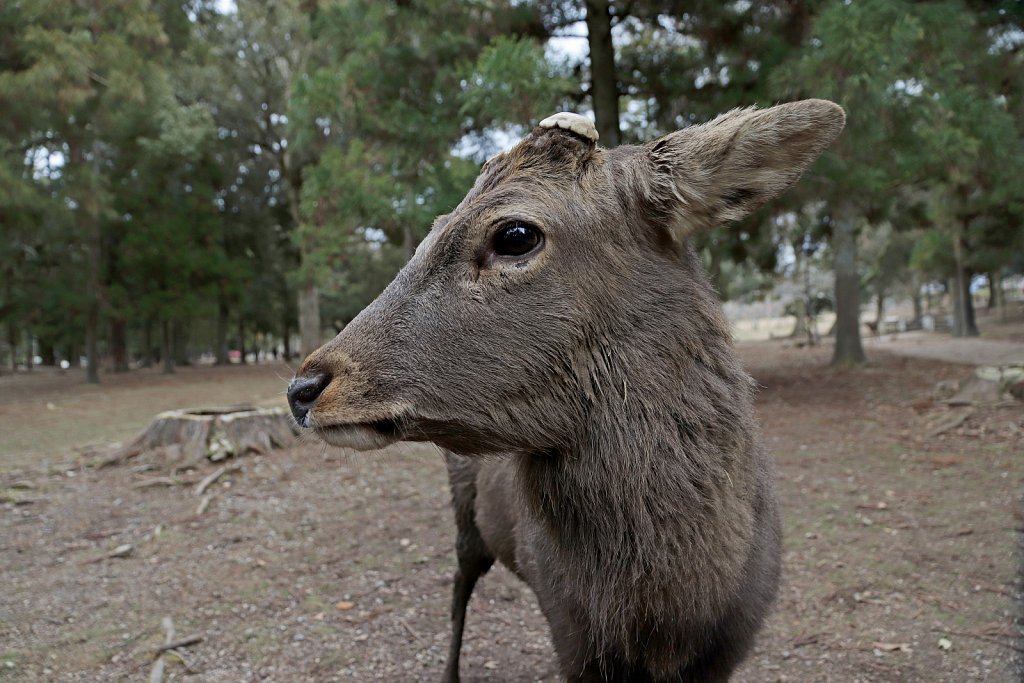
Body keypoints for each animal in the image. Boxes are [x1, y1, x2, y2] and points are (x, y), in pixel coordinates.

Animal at [286, 100, 839, 683]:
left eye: (515, 235)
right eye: (432, 229)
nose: (304, 387)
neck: (671, 614)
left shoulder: (730, 647)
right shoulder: (571, 637)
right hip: (465, 520)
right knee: (459, 586)